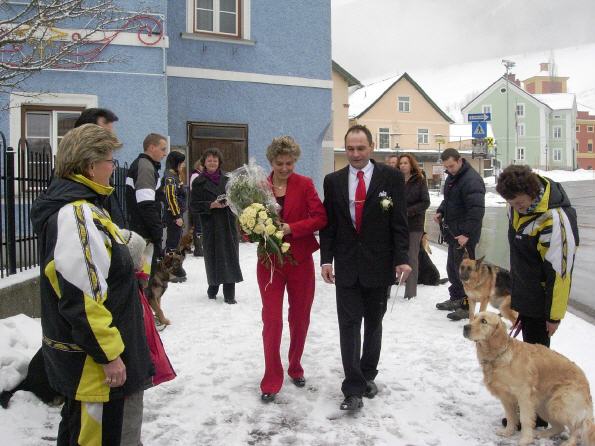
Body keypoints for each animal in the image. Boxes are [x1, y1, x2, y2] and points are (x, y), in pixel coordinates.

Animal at [466, 312, 595, 444]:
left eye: (484, 321)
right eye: (474, 318)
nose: (465, 327)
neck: (500, 355)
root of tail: (586, 384)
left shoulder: (524, 397)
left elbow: (525, 419)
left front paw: (525, 440)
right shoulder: (506, 397)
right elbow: (511, 417)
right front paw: (508, 432)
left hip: (559, 405)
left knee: (578, 427)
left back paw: (569, 442)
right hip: (544, 406)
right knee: (560, 427)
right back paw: (542, 434)